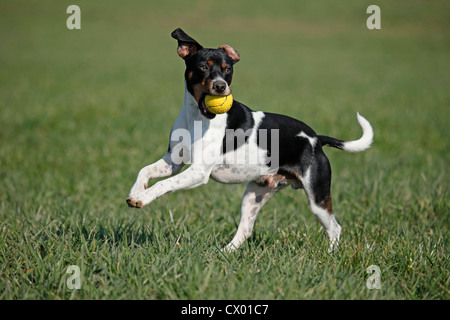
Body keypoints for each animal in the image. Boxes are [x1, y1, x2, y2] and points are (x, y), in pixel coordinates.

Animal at [126, 28, 372, 252]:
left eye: (227, 70)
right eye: (204, 66)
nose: (221, 86)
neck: (196, 116)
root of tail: (315, 139)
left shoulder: (198, 172)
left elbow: (164, 184)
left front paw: (143, 197)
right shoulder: (174, 161)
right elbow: (144, 170)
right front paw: (135, 192)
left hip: (317, 197)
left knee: (335, 228)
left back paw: (331, 255)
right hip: (254, 195)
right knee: (245, 230)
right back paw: (224, 253)